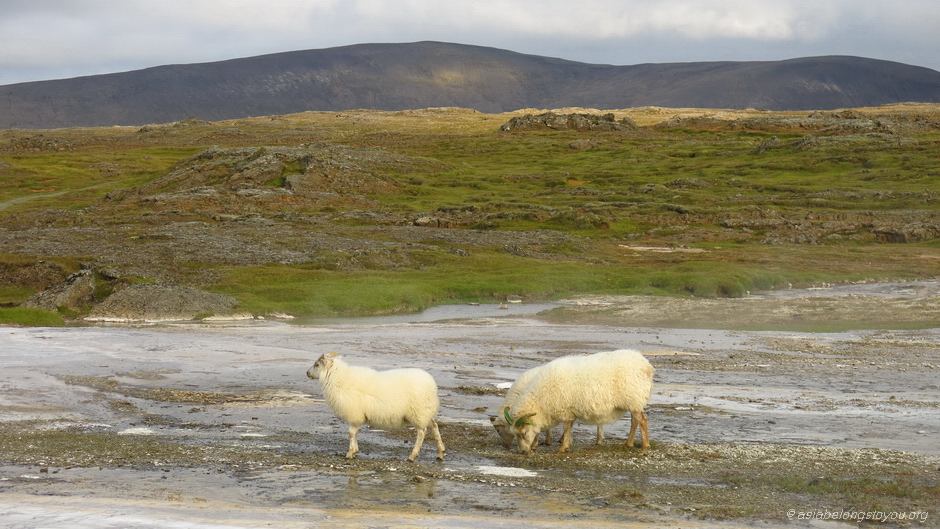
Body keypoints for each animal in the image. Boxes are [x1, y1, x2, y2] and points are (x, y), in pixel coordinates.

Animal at [304, 354, 444, 462]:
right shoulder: (357, 415)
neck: (337, 378)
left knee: (422, 432)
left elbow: (351, 433)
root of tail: (432, 384)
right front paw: (355, 451)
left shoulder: (354, 414)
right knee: (434, 426)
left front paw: (350, 453)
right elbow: (354, 433)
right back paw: (440, 452)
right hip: (427, 411)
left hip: (418, 412)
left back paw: (412, 456)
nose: (307, 373)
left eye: (317, 364)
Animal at [500, 346, 652, 454]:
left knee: (642, 420)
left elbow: (567, 428)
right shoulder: (570, 411)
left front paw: (562, 448)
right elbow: (570, 428)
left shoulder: (565, 410)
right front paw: (566, 446)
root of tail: (647, 366)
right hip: (634, 401)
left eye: (524, 433)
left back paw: (645, 445)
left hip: (634, 398)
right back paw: (629, 443)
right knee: (635, 421)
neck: (540, 401)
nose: (522, 452)